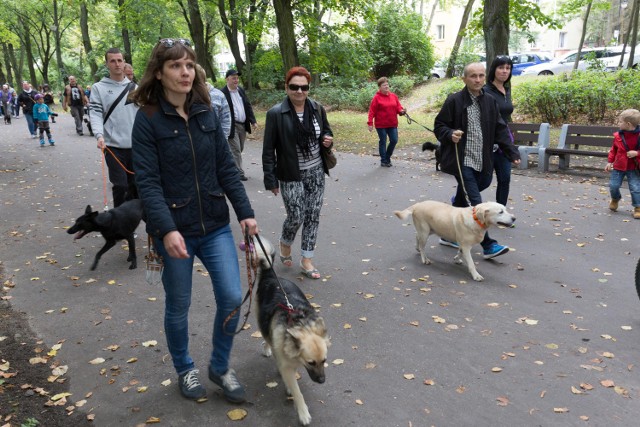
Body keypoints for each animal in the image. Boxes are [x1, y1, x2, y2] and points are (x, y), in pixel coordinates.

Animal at [252, 237, 330, 424]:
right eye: (311, 363)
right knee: (267, 337)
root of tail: (271, 275)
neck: (299, 322)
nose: (322, 381)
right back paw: (267, 349)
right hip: (262, 321)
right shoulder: (287, 363)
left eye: (324, 360)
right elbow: (297, 391)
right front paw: (303, 412)